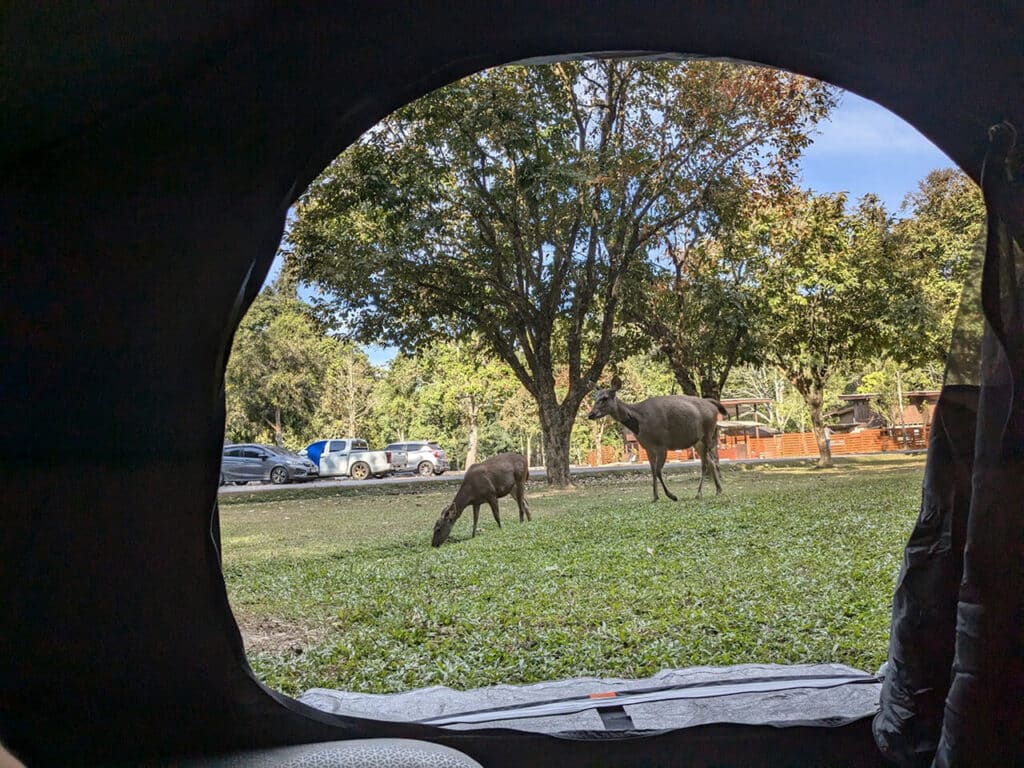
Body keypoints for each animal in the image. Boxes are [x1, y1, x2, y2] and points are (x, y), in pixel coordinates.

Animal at [587, 376, 727, 501]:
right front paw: (655, 497)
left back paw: (699, 493)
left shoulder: (662, 445)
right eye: (595, 397)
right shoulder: (648, 447)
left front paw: (672, 496)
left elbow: (658, 471)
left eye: (605, 398)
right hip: (697, 441)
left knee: (707, 462)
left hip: (708, 433)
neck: (640, 423)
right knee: (710, 461)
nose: (591, 414)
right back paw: (718, 490)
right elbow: (653, 471)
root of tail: (712, 404)